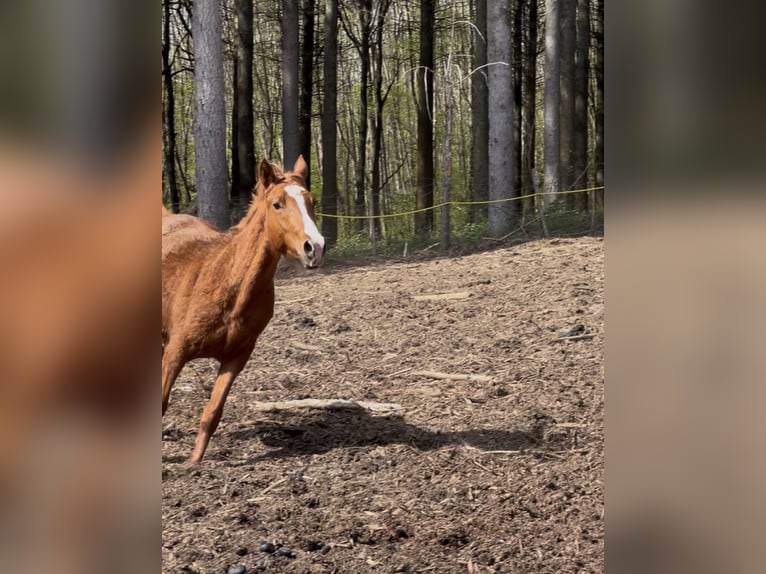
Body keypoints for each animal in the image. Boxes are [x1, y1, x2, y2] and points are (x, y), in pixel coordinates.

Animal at [162, 155, 324, 465]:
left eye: (312, 201)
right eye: (277, 204)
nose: (315, 248)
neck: (228, 284)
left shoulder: (236, 358)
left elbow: (213, 412)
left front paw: (194, 463)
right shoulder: (175, 354)